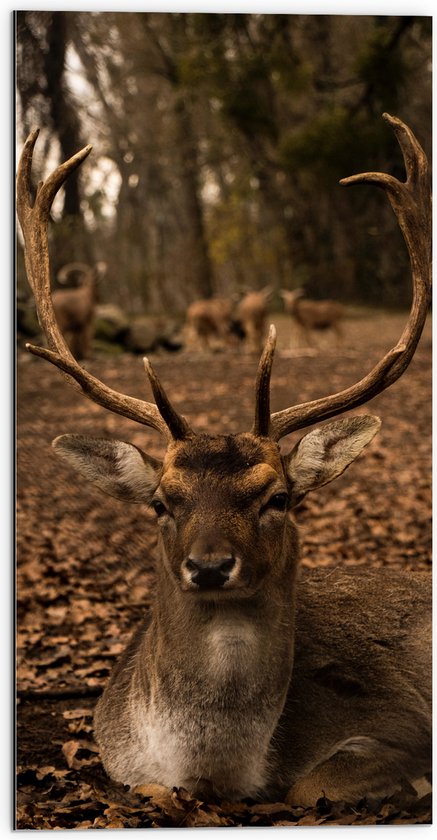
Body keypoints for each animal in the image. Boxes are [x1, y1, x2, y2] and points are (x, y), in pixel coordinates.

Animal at [16, 115, 430, 812]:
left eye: (279, 497)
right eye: (161, 501)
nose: (209, 566)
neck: (220, 772)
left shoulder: (401, 719)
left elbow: (311, 785)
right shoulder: (124, 765)